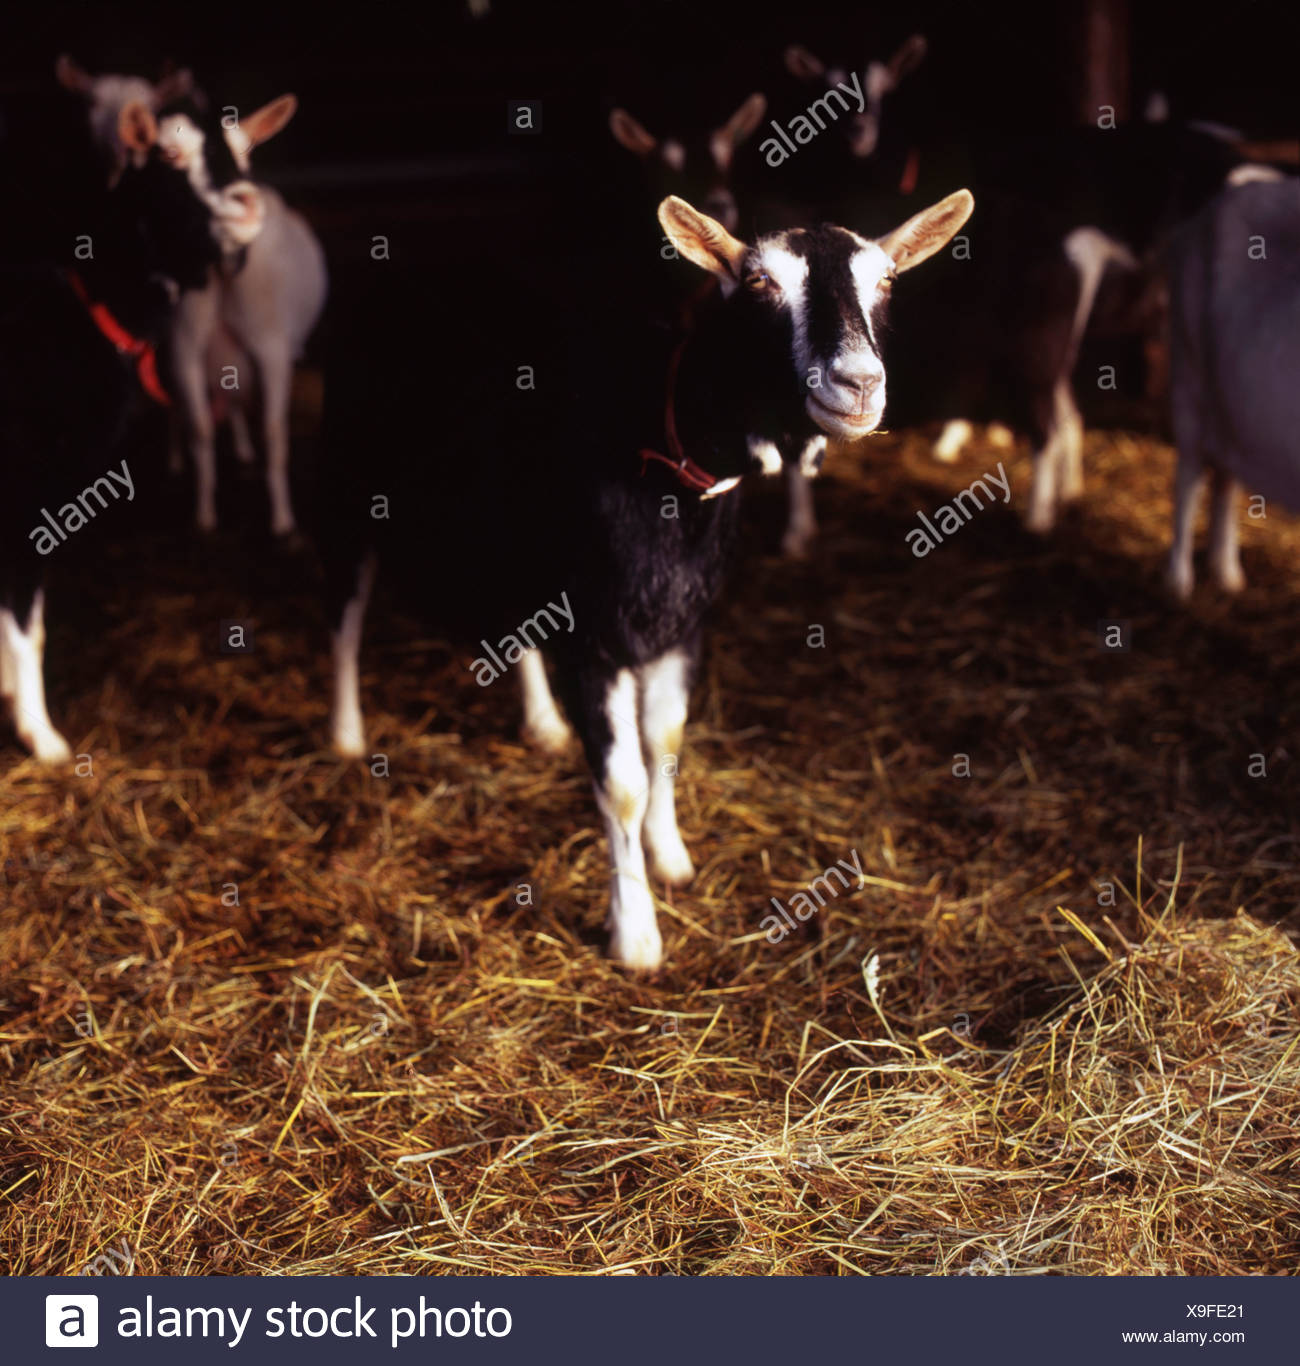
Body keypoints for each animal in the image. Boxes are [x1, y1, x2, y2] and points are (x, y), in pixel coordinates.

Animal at [322, 188, 972, 968]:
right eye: (759, 281)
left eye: (886, 281)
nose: (859, 384)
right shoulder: (594, 636)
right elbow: (624, 782)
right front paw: (634, 933)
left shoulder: (680, 625)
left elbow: (666, 741)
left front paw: (670, 857)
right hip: (353, 480)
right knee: (344, 606)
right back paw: (345, 734)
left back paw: (541, 722)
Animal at [1164, 177, 1300, 600]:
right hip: (1188, 376)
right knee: (1188, 476)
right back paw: (1179, 580)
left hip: (1230, 407)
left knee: (1225, 478)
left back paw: (1226, 573)